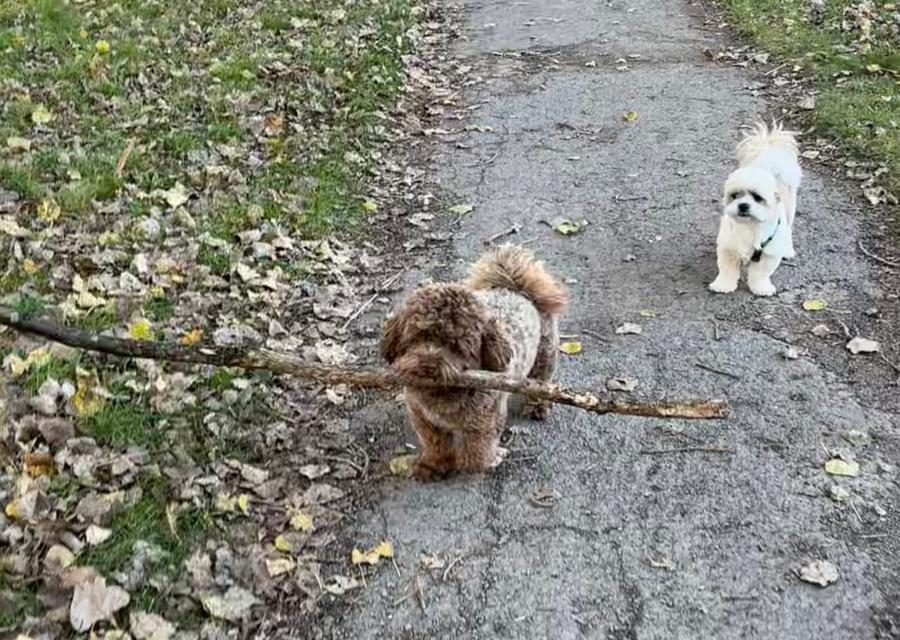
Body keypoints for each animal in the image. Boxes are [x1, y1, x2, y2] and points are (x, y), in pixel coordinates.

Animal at [712, 123, 800, 298]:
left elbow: (760, 274)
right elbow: (727, 269)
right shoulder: (728, 247)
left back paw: (788, 249)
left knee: (788, 229)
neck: (749, 227)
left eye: (758, 198)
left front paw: (761, 288)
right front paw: (723, 285)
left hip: (789, 212)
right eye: (735, 195)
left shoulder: (768, 255)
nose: (743, 205)